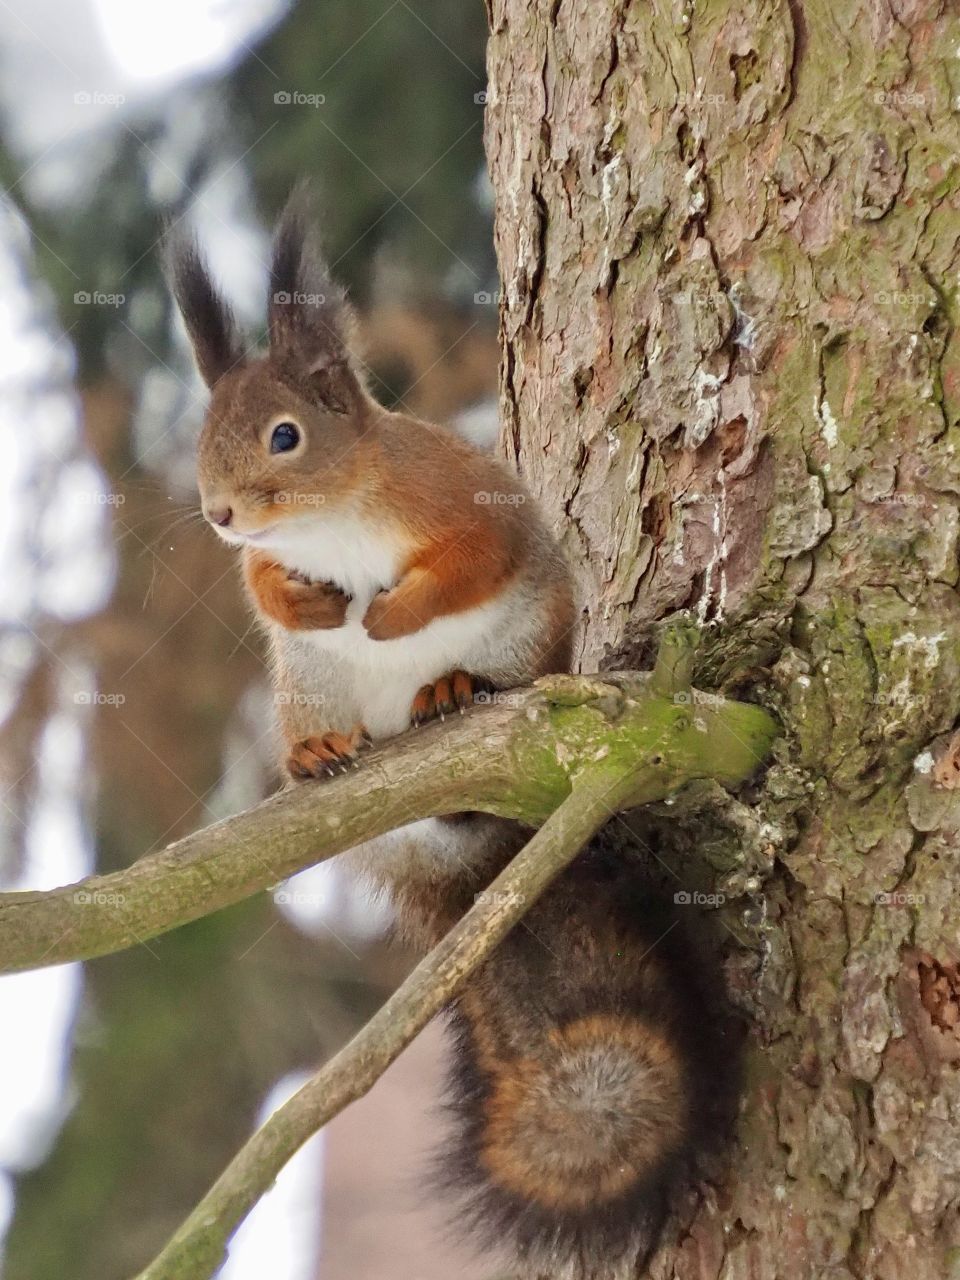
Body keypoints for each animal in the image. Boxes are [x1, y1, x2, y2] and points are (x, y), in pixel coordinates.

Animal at [168, 190, 740, 1280]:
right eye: (203, 436)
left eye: (284, 435)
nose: (219, 514)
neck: (332, 520)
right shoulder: (267, 566)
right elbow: (264, 585)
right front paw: (307, 598)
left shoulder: (466, 508)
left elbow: (469, 562)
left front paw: (392, 615)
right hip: (305, 688)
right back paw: (316, 752)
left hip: (526, 637)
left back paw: (451, 685)